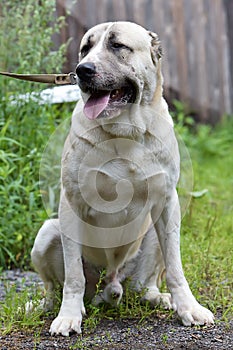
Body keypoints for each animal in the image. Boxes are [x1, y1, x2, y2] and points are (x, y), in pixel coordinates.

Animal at [30, 21, 214, 336]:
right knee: (57, 287)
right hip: (48, 232)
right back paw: (52, 307)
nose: (82, 70)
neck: (125, 132)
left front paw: (189, 308)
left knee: (142, 285)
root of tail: (111, 280)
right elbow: (73, 277)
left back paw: (157, 297)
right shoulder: (71, 204)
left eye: (118, 46)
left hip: (153, 233)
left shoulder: (168, 203)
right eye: (85, 48)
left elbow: (176, 268)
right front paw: (68, 317)